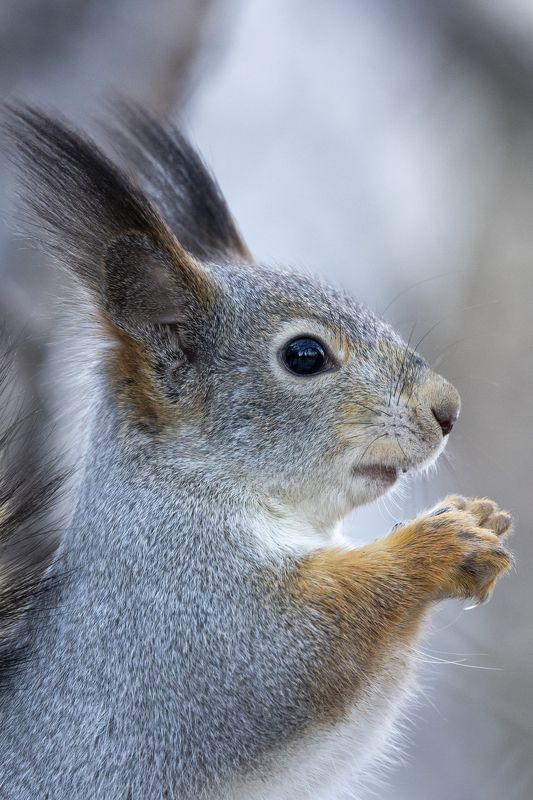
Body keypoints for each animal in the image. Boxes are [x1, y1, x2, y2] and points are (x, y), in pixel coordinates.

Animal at [0, 106, 513, 800]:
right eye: (305, 355)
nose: (448, 409)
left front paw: (477, 518)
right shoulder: (188, 621)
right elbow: (312, 638)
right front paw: (437, 545)